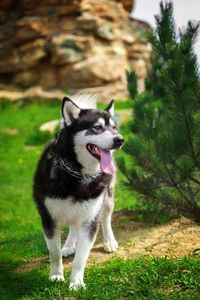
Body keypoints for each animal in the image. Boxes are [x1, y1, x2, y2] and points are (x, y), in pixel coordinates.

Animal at [33, 95, 124, 290]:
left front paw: (76, 283)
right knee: (72, 226)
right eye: (97, 127)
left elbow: (80, 259)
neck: (77, 173)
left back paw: (109, 241)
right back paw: (68, 245)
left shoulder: (90, 221)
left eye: (114, 127)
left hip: (107, 199)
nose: (120, 140)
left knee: (106, 218)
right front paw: (56, 275)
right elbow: (54, 253)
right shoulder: (48, 218)